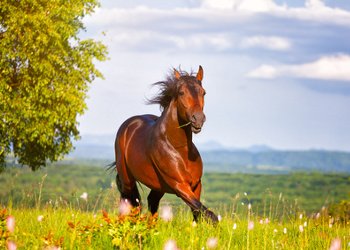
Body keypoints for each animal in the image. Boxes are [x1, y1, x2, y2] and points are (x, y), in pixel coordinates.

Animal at [110, 66, 217, 223]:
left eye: (203, 92)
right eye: (181, 92)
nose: (198, 119)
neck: (179, 149)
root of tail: (128, 125)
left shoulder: (196, 185)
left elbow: (198, 212)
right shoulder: (180, 185)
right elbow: (209, 214)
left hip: (158, 186)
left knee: (151, 202)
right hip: (127, 180)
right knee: (128, 203)